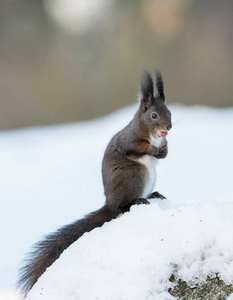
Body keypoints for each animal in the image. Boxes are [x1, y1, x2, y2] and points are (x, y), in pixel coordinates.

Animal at [17, 69, 171, 296]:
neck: (153, 134)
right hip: (135, 176)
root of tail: (109, 204)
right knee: (122, 207)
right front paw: (153, 150)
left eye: (169, 112)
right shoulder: (130, 138)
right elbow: (134, 146)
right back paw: (137, 201)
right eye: (154, 115)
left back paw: (153, 194)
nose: (169, 127)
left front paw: (164, 151)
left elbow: (165, 148)